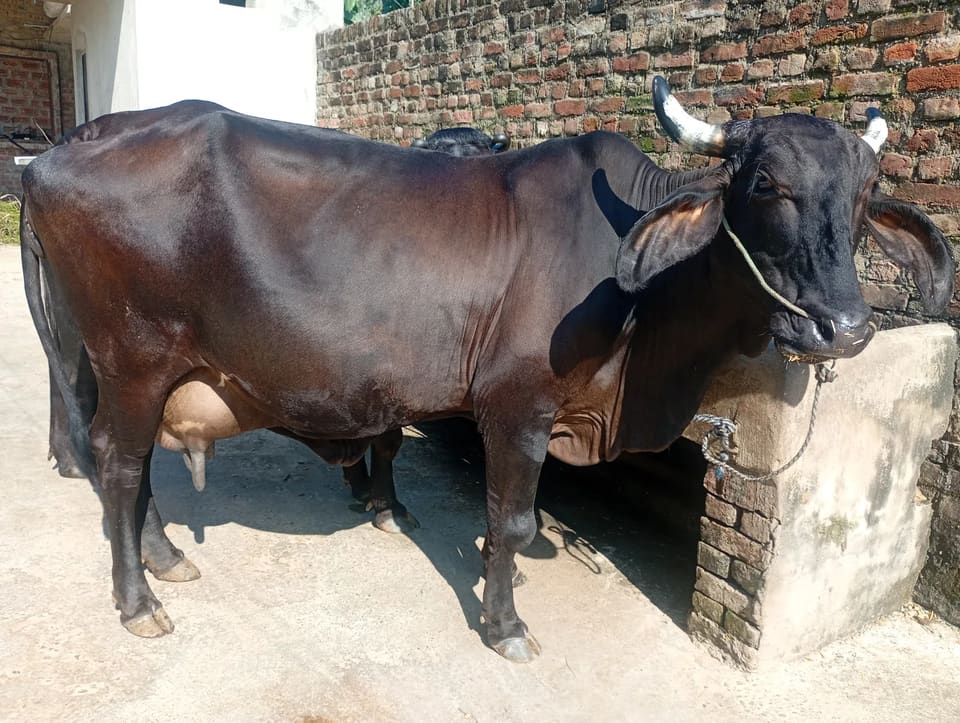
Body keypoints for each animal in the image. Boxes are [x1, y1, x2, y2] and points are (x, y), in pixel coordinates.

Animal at [20, 76, 952, 662]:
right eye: (767, 185)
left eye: (865, 196)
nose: (844, 326)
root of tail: (53, 158)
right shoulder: (518, 407)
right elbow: (512, 521)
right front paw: (504, 623)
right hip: (134, 358)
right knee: (118, 462)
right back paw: (140, 601)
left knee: (133, 470)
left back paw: (164, 556)